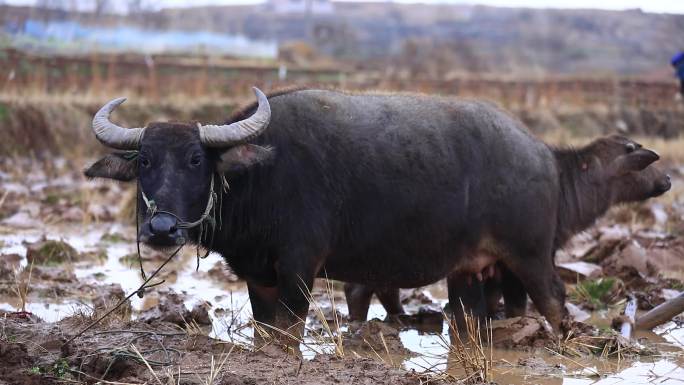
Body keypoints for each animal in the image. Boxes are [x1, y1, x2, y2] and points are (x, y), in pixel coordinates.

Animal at [84, 88, 668, 336]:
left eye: (195, 159)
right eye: (144, 162)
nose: (161, 227)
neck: (261, 178)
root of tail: (542, 154)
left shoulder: (300, 269)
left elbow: (292, 332)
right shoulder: (259, 277)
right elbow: (266, 330)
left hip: (529, 257)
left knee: (555, 302)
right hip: (470, 272)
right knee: (471, 320)